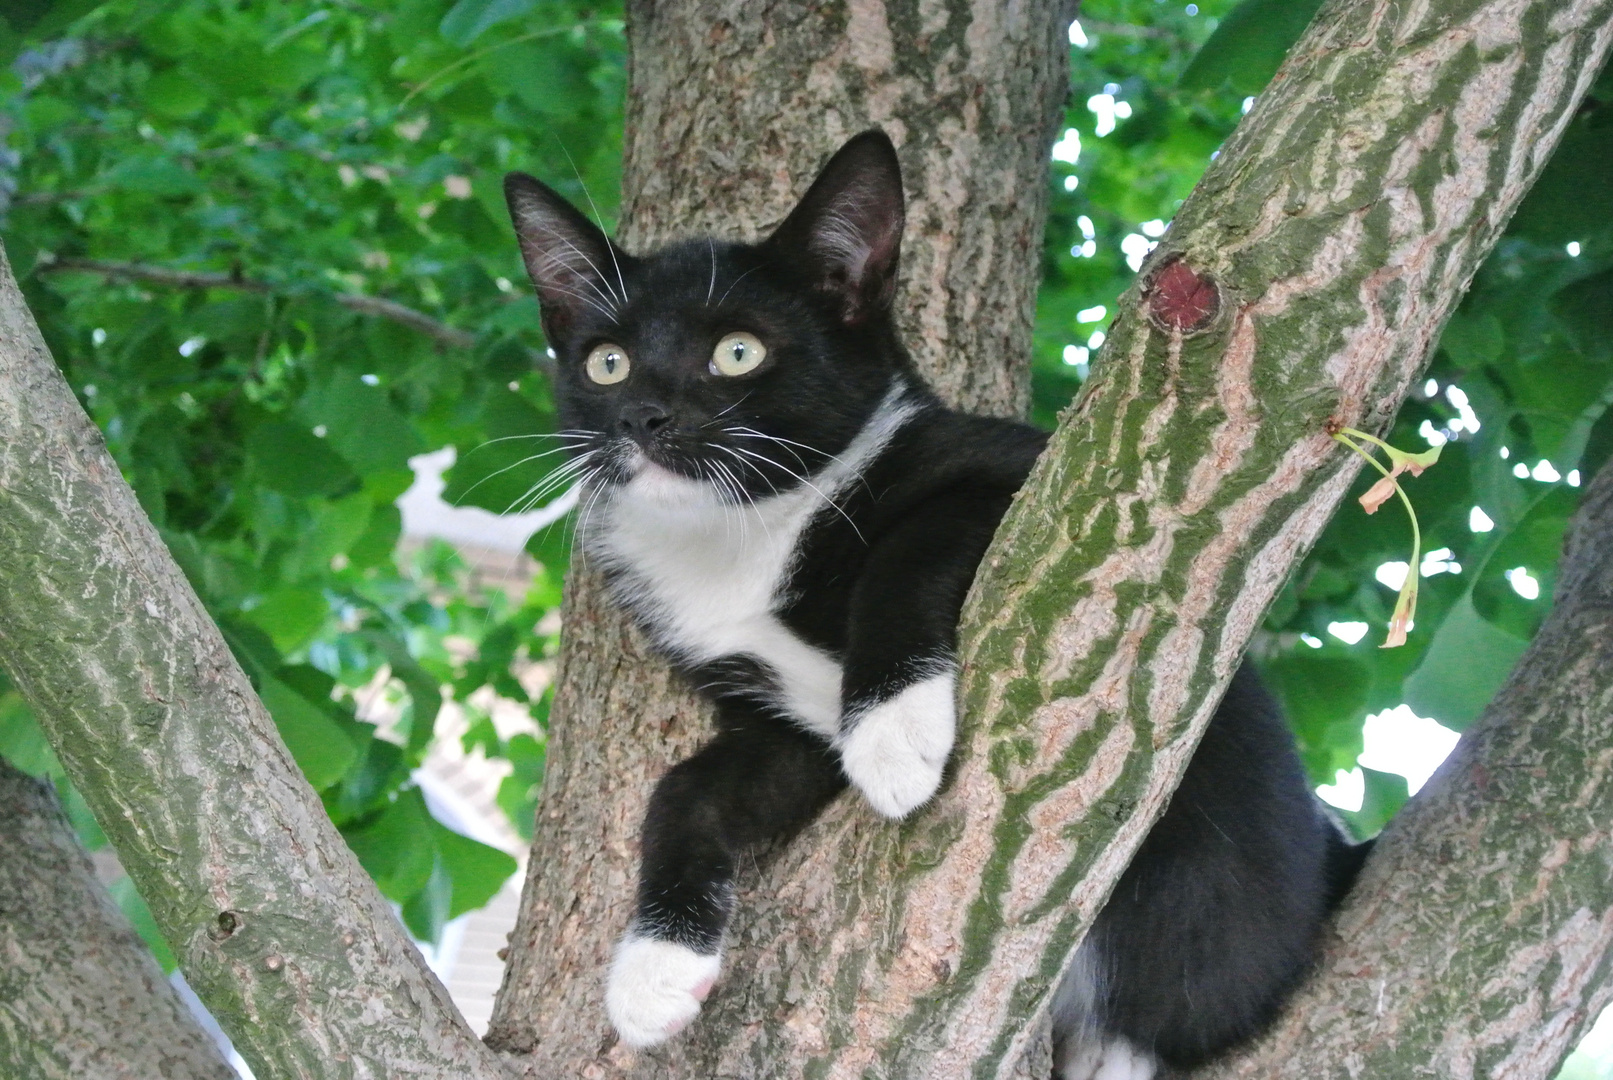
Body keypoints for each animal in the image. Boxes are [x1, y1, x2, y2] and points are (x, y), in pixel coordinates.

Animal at [503, 131, 1361, 1076]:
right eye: (605, 362)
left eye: (737, 352)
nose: (644, 417)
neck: (744, 533)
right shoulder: (780, 726)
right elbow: (688, 787)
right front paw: (653, 967)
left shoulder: (1033, 476)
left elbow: (914, 544)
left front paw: (890, 731)